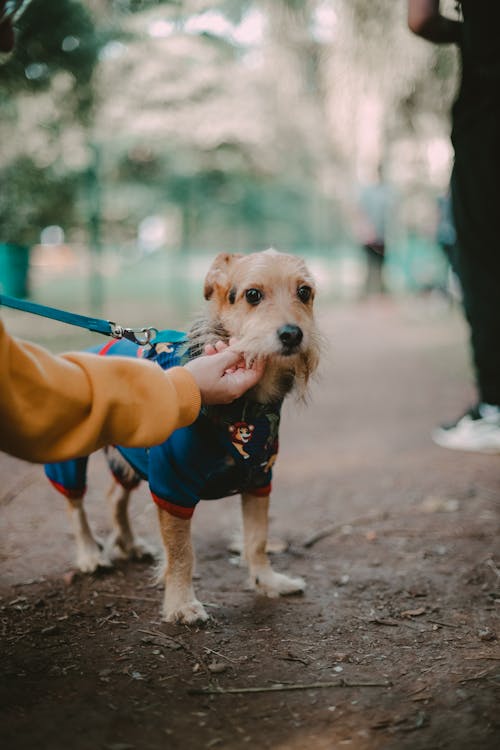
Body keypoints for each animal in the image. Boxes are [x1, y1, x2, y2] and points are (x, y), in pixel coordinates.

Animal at [47, 250, 320, 624]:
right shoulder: (171, 485)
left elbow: (257, 539)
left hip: (132, 456)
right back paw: (90, 553)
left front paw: (267, 581)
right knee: (75, 504)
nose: (293, 334)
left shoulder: (258, 478)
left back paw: (131, 545)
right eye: (252, 295)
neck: (247, 410)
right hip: (72, 454)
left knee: (114, 498)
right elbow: (182, 553)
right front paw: (180, 603)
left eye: (305, 292)